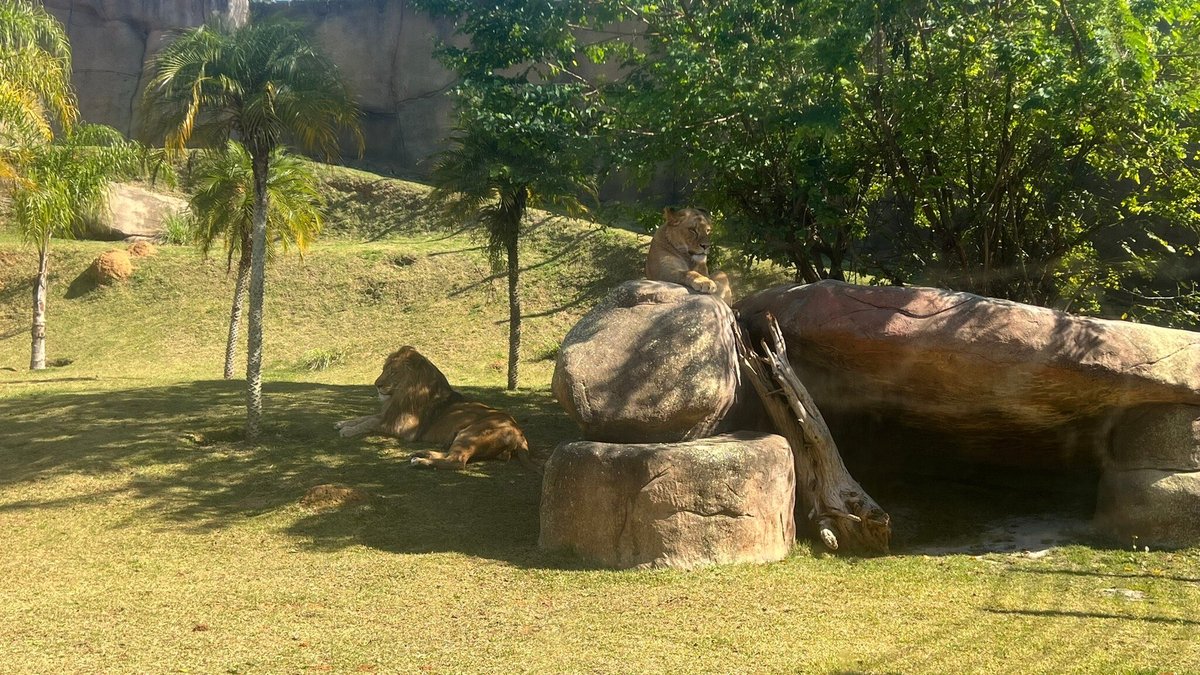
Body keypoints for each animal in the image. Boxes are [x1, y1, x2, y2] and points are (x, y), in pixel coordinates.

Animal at [333, 343, 530, 470]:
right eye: (383, 369)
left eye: (393, 372)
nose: (377, 385)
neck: (400, 394)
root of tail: (519, 434)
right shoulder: (390, 414)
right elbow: (367, 417)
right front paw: (342, 422)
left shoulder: (404, 428)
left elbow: (370, 423)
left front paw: (347, 431)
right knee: (451, 455)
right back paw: (422, 453)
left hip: (471, 433)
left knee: (457, 462)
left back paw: (420, 461)